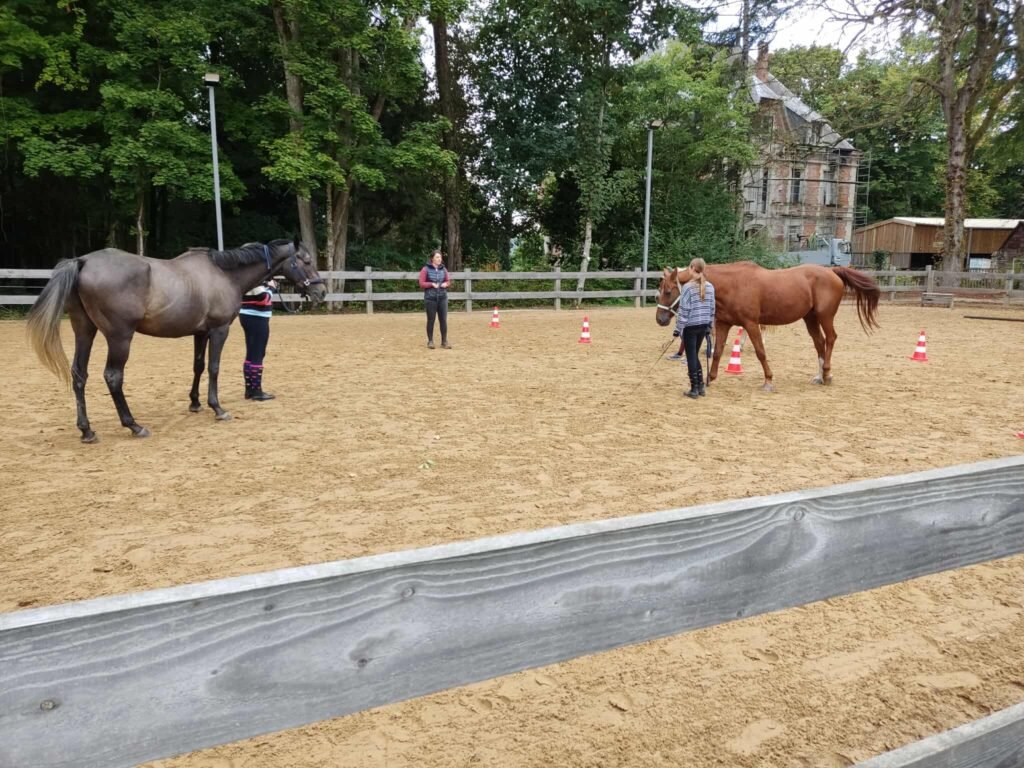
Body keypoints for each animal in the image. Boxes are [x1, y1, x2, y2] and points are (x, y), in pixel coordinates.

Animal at [27, 237, 326, 442]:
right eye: (307, 261)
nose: (322, 292)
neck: (224, 274)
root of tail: (83, 261)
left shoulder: (200, 332)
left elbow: (198, 366)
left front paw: (194, 403)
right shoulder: (219, 330)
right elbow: (214, 368)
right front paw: (217, 408)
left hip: (84, 330)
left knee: (79, 374)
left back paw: (87, 430)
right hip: (119, 337)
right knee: (113, 376)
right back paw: (133, 425)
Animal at [655, 262, 880, 392]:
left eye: (668, 291)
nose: (660, 319)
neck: (733, 284)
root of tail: (831, 271)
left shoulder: (751, 324)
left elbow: (760, 352)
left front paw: (769, 381)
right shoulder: (723, 323)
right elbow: (717, 351)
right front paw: (710, 379)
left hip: (825, 316)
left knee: (831, 339)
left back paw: (826, 373)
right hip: (810, 318)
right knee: (820, 343)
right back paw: (820, 377)